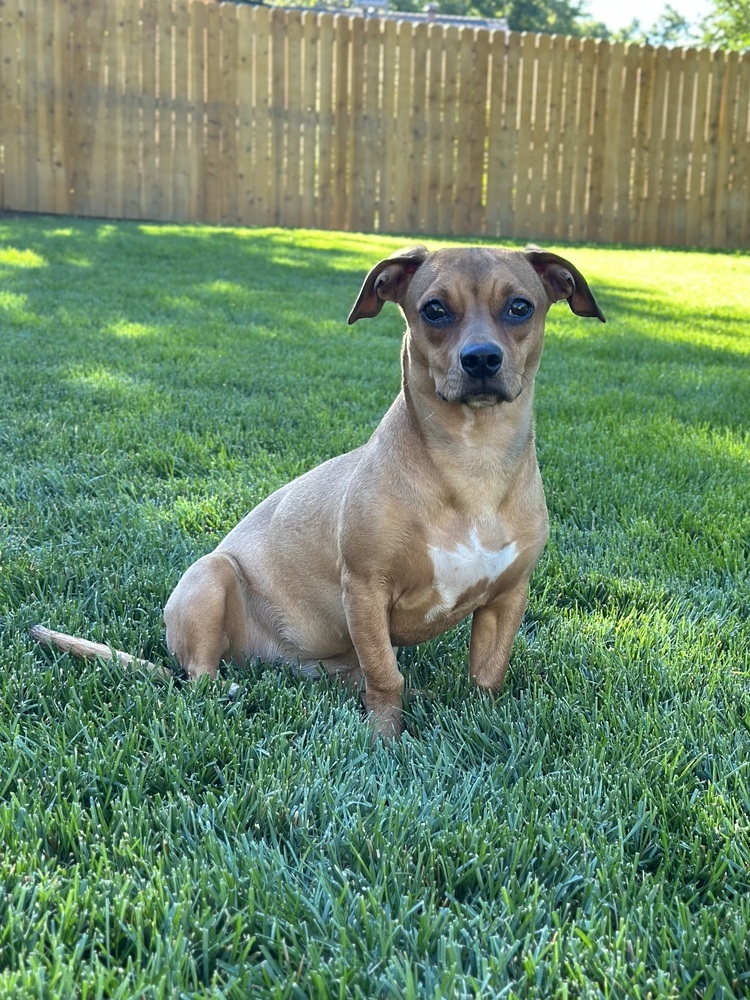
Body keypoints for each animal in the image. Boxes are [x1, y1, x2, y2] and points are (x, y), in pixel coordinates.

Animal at [162, 246, 608, 740]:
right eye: (434, 309)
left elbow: (487, 675)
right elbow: (384, 676)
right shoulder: (365, 589)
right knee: (200, 678)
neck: (474, 460)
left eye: (520, 307)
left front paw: (484, 724)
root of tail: (279, 664)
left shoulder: (507, 597)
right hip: (211, 576)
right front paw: (384, 741)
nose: (481, 359)